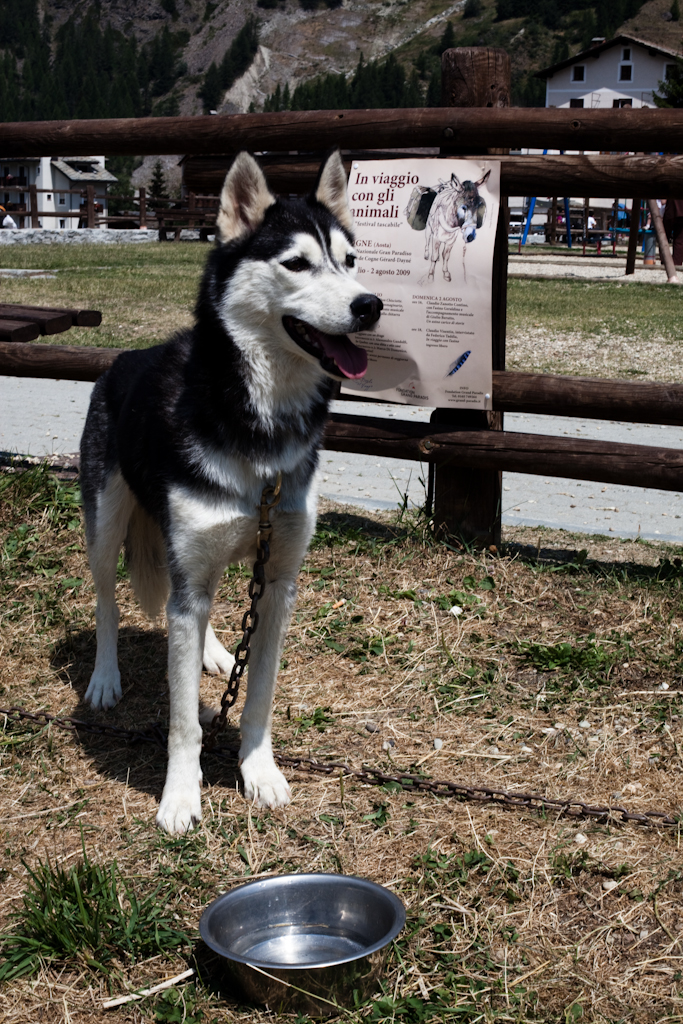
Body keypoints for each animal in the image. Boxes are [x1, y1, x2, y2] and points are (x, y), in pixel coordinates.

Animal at [79, 151, 382, 834]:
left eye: (351, 260)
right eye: (296, 263)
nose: (370, 305)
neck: (258, 428)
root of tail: (127, 356)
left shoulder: (279, 579)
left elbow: (259, 694)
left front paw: (258, 770)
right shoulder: (188, 569)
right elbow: (183, 721)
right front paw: (180, 795)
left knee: (201, 607)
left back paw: (215, 652)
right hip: (106, 525)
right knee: (108, 603)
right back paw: (106, 678)